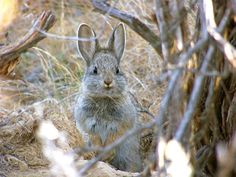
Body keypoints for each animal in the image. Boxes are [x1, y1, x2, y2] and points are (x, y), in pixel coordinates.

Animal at [74, 22, 143, 172]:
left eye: (117, 70)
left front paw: (107, 155)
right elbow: (95, 140)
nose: (108, 82)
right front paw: (101, 156)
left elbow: (113, 140)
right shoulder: (89, 125)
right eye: (95, 70)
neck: (104, 98)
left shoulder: (119, 126)